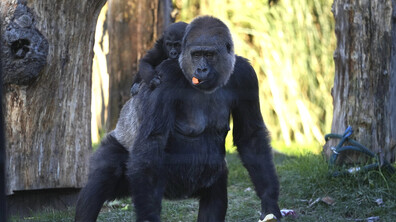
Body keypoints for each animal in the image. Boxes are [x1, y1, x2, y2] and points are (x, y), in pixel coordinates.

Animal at [76, 16, 282, 222]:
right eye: (196, 54)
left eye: (209, 54)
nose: (201, 69)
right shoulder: (166, 76)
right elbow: (152, 140)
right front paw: (149, 216)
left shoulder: (246, 76)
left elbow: (250, 137)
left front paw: (269, 200)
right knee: (104, 175)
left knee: (214, 197)